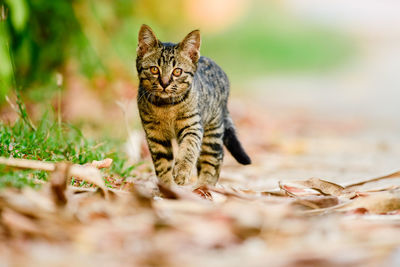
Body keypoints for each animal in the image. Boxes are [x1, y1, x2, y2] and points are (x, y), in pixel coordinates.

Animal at [137, 25, 250, 187]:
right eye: (154, 69)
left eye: (177, 71)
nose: (164, 83)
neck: (166, 106)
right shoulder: (155, 135)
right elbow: (162, 164)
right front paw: (167, 187)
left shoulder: (193, 125)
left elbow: (189, 148)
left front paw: (182, 171)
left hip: (213, 130)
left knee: (214, 158)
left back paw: (203, 187)